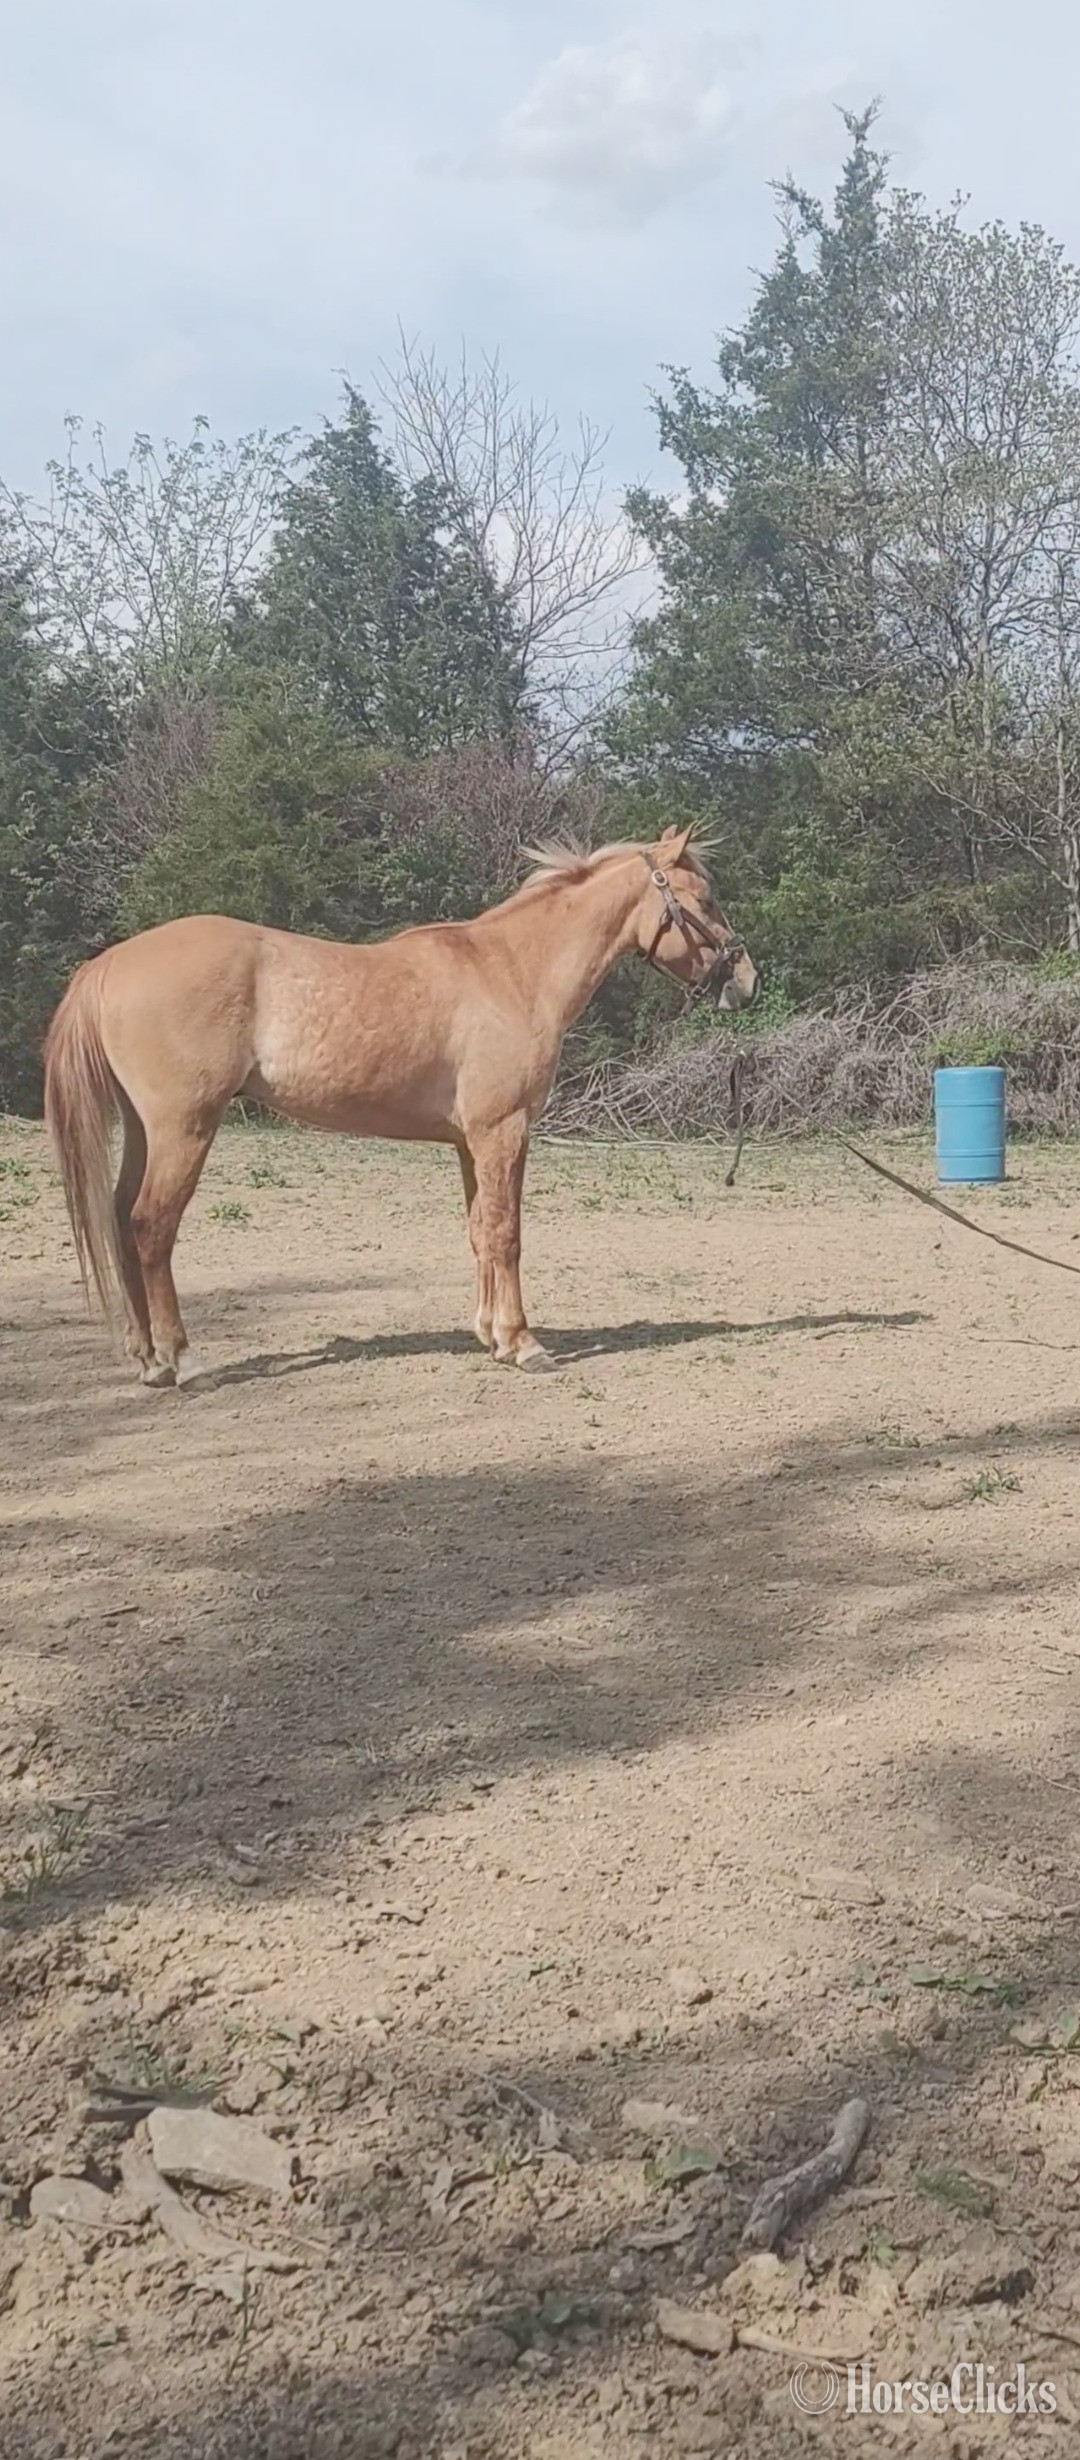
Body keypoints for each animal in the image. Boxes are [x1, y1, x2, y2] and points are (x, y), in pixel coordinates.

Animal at [44, 824, 758, 1384]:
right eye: (704, 899)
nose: (746, 981)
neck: (511, 973)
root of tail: (110, 963)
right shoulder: (504, 1132)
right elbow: (507, 1233)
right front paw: (525, 1343)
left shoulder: (471, 1142)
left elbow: (479, 1232)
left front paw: (491, 1335)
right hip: (184, 1129)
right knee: (150, 1226)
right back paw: (183, 1359)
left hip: (145, 1130)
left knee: (119, 1219)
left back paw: (148, 1359)